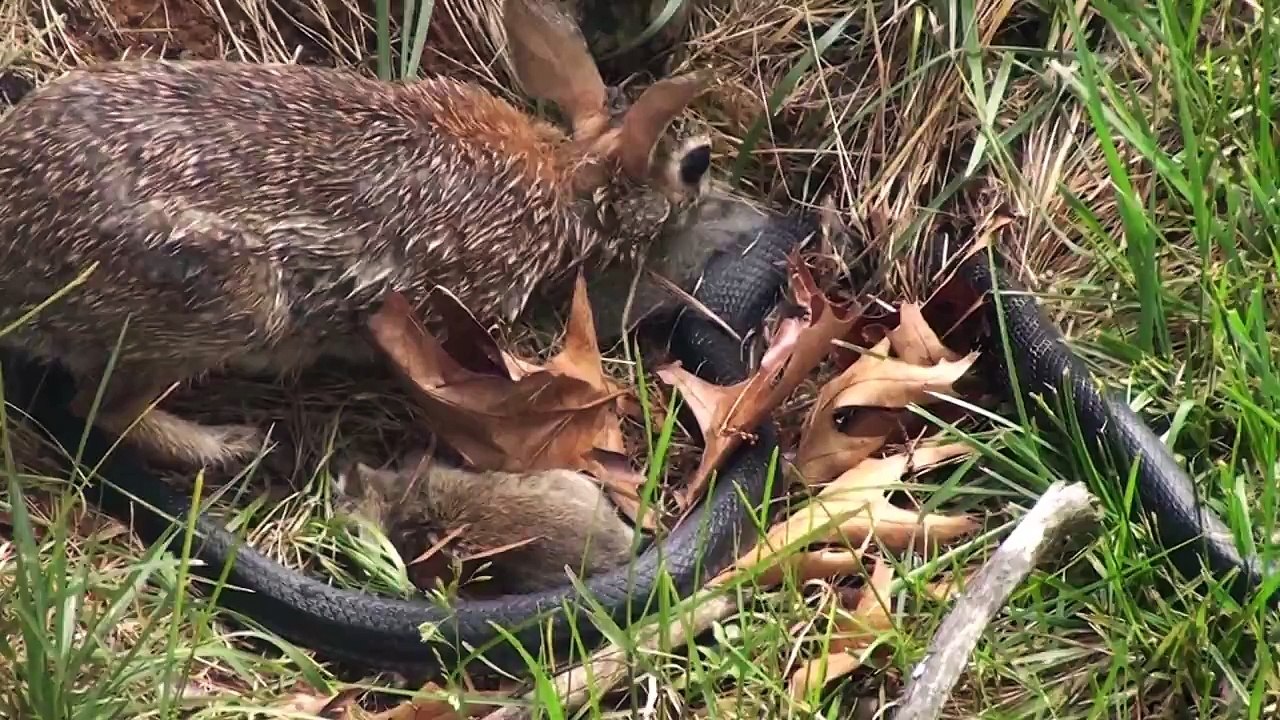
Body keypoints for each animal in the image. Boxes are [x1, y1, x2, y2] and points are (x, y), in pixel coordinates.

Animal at [0, 0, 715, 470]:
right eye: (689, 168)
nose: (702, 183)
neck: (563, 183)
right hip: (226, 303)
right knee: (103, 410)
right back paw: (228, 446)